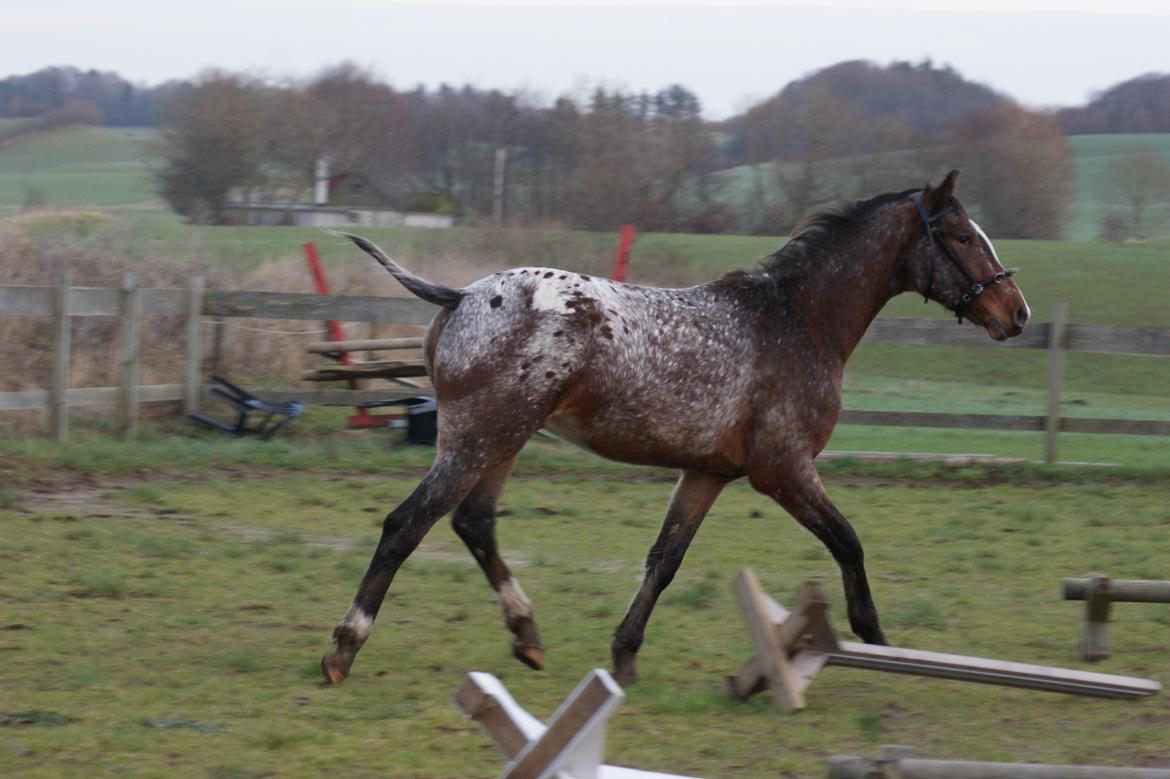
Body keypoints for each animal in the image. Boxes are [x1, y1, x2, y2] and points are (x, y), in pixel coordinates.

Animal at [318, 171, 1024, 687]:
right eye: (961, 237)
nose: (1015, 312)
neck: (796, 321)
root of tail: (461, 296)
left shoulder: (709, 473)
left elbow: (665, 560)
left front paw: (625, 655)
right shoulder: (783, 470)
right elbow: (848, 542)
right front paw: (880, 646)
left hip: (502, 442)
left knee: (473, 523)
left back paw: (527, 637)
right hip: (479, 441)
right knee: (407, 524)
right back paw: (343, 650)